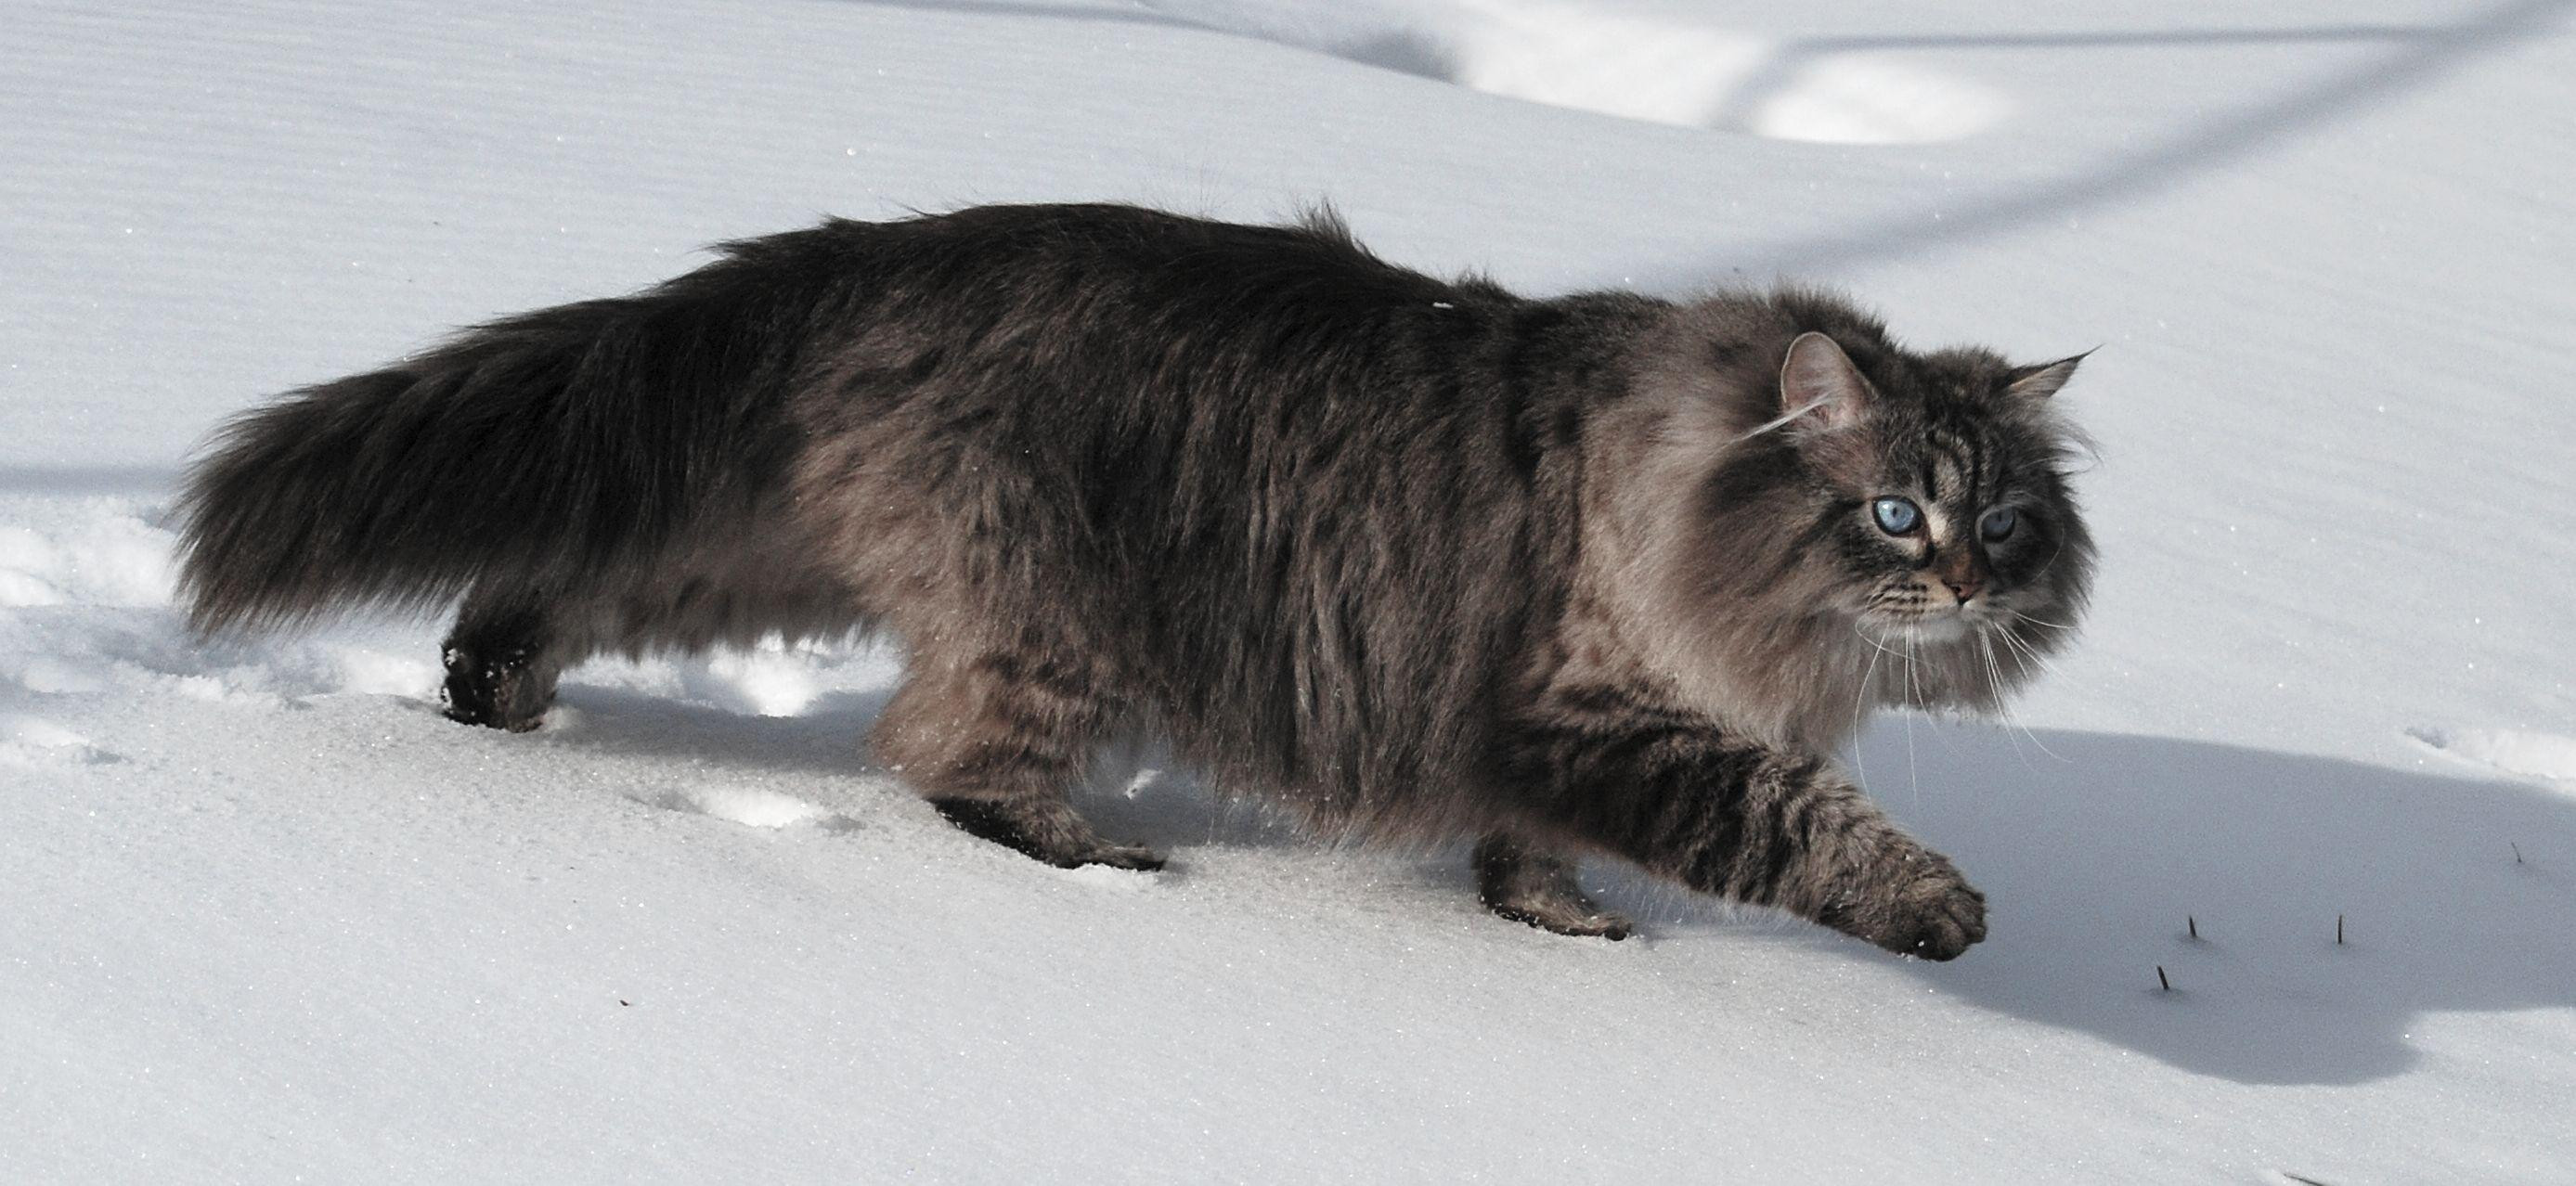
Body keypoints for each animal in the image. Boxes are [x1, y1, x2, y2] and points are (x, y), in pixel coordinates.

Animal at [190, 203, 2102, 957]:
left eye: (2007, 523)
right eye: (1893, 515)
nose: (1967, 586)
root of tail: (880, 256)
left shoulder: (1549, 739)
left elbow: (1534, 861)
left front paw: (1559, 927)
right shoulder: (1598, 711)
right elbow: (1792, 815)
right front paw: (1935, 904)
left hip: (761, 541)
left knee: (560, 583)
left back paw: (491, 694)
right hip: (1045, 616)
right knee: (945, 761)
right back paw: (1088, 854)